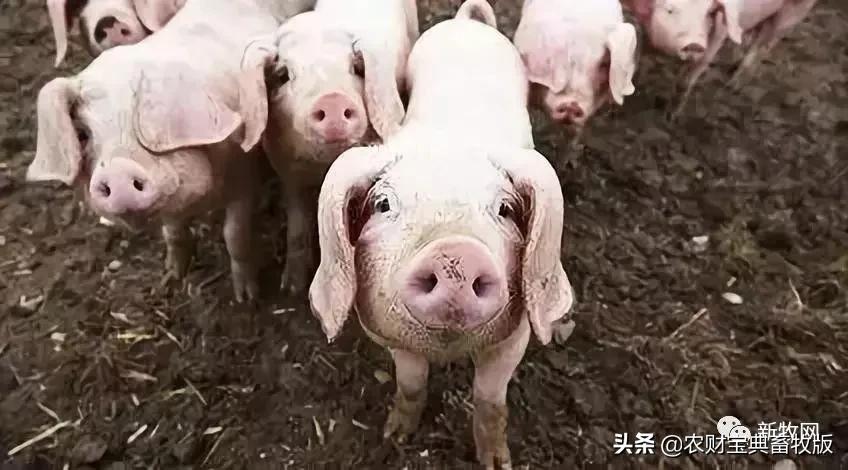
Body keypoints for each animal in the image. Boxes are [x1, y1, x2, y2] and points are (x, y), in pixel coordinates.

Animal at [237, 0, 418, 296]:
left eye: (356, 67)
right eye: (283, 74)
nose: (332, 100)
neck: (323, 166)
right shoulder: (290, 175)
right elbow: (297, 228)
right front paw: (290, 287)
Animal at [308, 1, 575, 468]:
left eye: (505, 210)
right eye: (384, 205)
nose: (455, 255)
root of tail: (466, 23)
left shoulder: (517, 334)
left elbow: (489, 400)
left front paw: (497, 461)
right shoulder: (388, 333)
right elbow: (411, 384)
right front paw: (395, 436)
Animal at [623, 0, 819, 115]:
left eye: (709, 14)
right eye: (670, 10)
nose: (695, 44)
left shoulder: (719, 34)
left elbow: (687, 79)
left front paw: (670, 116)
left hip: (795, 11)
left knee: (765, 45)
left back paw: (732, 86)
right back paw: (732, 68)